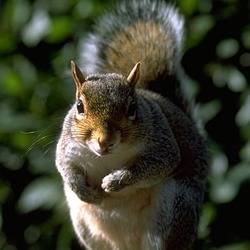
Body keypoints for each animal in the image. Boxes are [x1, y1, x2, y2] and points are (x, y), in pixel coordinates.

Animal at [55, 0, 208, 249]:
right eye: (79, 106)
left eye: (132, 108)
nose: (105, 141)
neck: (108, 157)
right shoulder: (68, 147)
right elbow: (65, 167)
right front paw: (85, 191)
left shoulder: (162, 144)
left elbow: (159, 164)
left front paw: (115, 181)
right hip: (86, 227)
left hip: (176, 208)